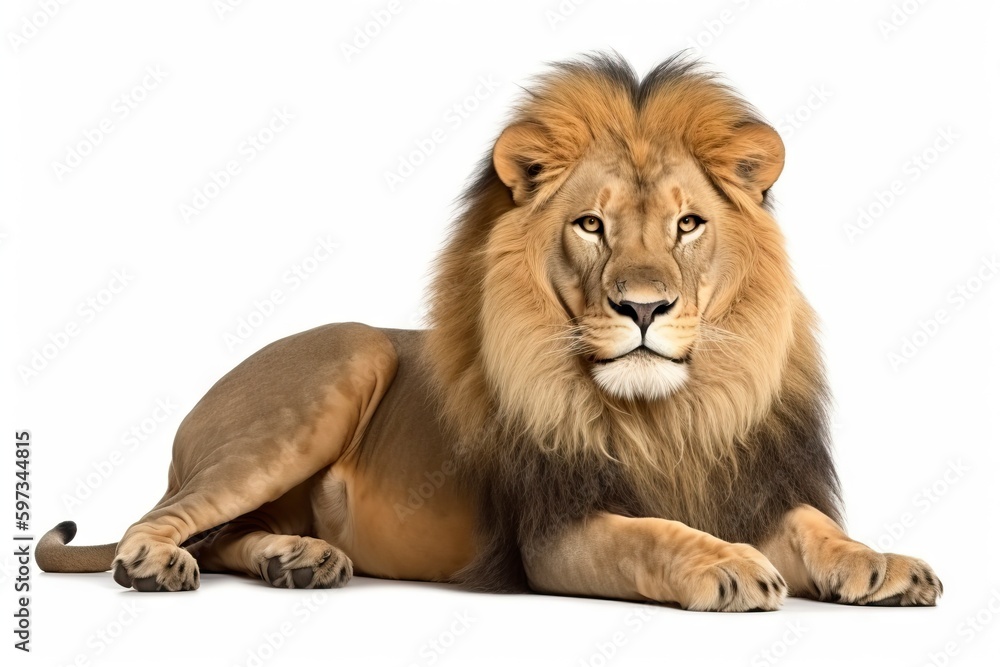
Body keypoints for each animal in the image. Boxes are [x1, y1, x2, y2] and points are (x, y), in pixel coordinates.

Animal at [37, 53, 942, 611]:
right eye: (590, 225)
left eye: (688, 224)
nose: (643, 307)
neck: (669, 417)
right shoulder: (554, 534)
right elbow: (651, 535)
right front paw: (722, 563)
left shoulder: (744, 484)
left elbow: (815, 525)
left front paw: (884, 562)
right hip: (333, 371)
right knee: (167, 515)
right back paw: (155, 562)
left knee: (224, 535)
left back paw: (294, 557)